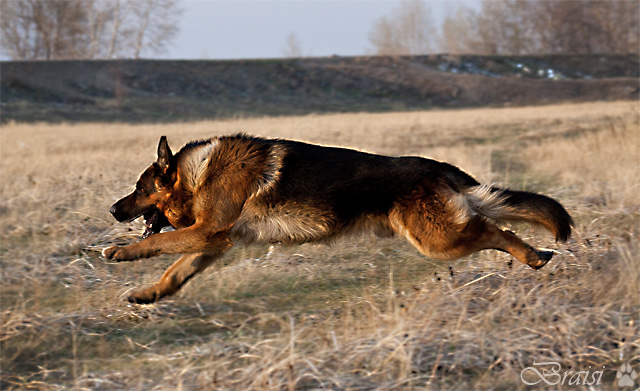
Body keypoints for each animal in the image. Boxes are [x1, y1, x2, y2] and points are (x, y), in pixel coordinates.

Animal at [102, 134, 572, 304]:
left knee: (497, 228)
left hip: (438, 239)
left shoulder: (206, 233)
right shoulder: (212, 242)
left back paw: (533, 256)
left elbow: (155, 243)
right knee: (493, 224)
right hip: (440, 235)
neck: (198, 175)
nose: (112, 209)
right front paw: (147, 295)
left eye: (139, 189)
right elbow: (173, 272)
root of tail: (437, 168)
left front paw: (120, 252)